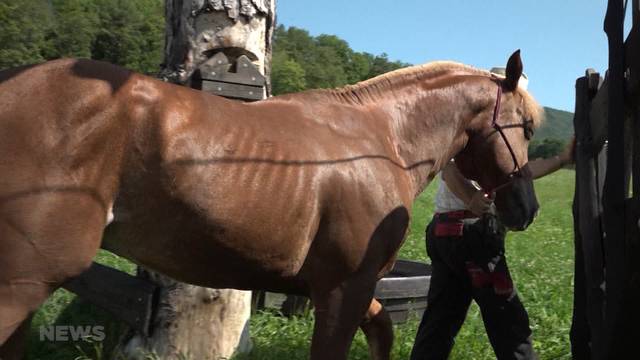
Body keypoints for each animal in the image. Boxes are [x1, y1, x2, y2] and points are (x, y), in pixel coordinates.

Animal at [1, 50, 540, 360]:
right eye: (529, 128)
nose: (526, 208)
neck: (380, 140)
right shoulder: (343, 289)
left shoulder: (347, 289)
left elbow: (382, 329)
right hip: (22, 285)